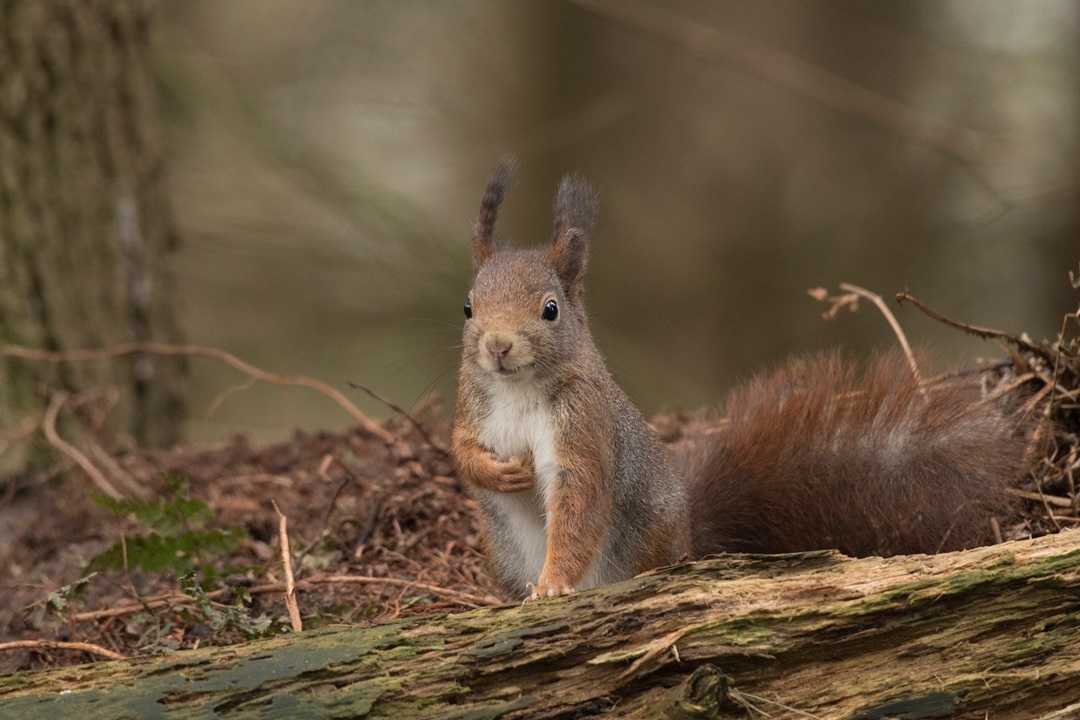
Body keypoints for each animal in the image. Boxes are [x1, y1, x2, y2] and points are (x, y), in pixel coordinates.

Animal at [449, 158, 1028, 604]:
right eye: (469, 307)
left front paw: (552, 585)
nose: (497, 346)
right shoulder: (472, 404)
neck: (518, 388)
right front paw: (498, 473)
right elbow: (462, 450)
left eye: (550, 310)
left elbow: (579, 505)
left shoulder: (584, 429)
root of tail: (688, 540)